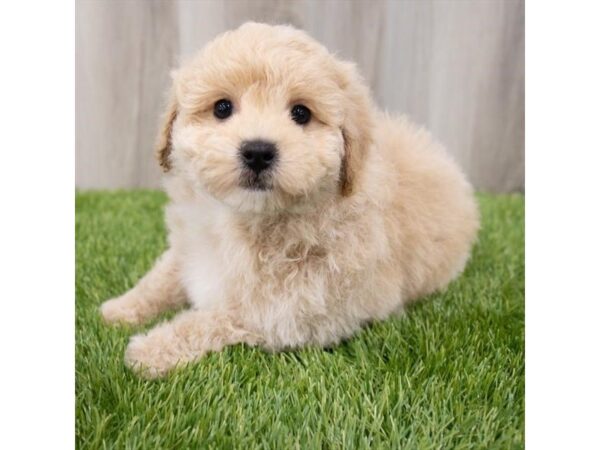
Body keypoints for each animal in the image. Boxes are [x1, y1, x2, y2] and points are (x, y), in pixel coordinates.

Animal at [101, 22, 480, 378]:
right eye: (222, 108)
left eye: (301, 113)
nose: (257, 151)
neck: (243, 219)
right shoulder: (190, 244)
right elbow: (162, 277)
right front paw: (120, 309)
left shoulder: (285, 314)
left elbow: (210, 320)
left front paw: (151, 349)